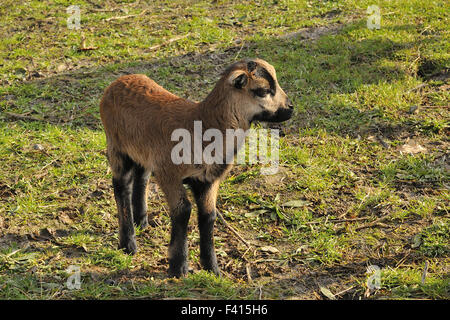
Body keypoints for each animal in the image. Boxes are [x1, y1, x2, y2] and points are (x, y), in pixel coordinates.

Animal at [100, 58, 294, 278]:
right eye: (263, 91)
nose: (290, 108)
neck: (203, 126)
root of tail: (117, 82)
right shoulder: (169, 174)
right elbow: (183, 211)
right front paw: (178, 266)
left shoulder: (208, 180)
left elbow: (208, 216)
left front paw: (212, 268)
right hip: (116, 146)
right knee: (121, 186)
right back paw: (129, 244)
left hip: (142, 150)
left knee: (142, 177)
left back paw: (141, 222)